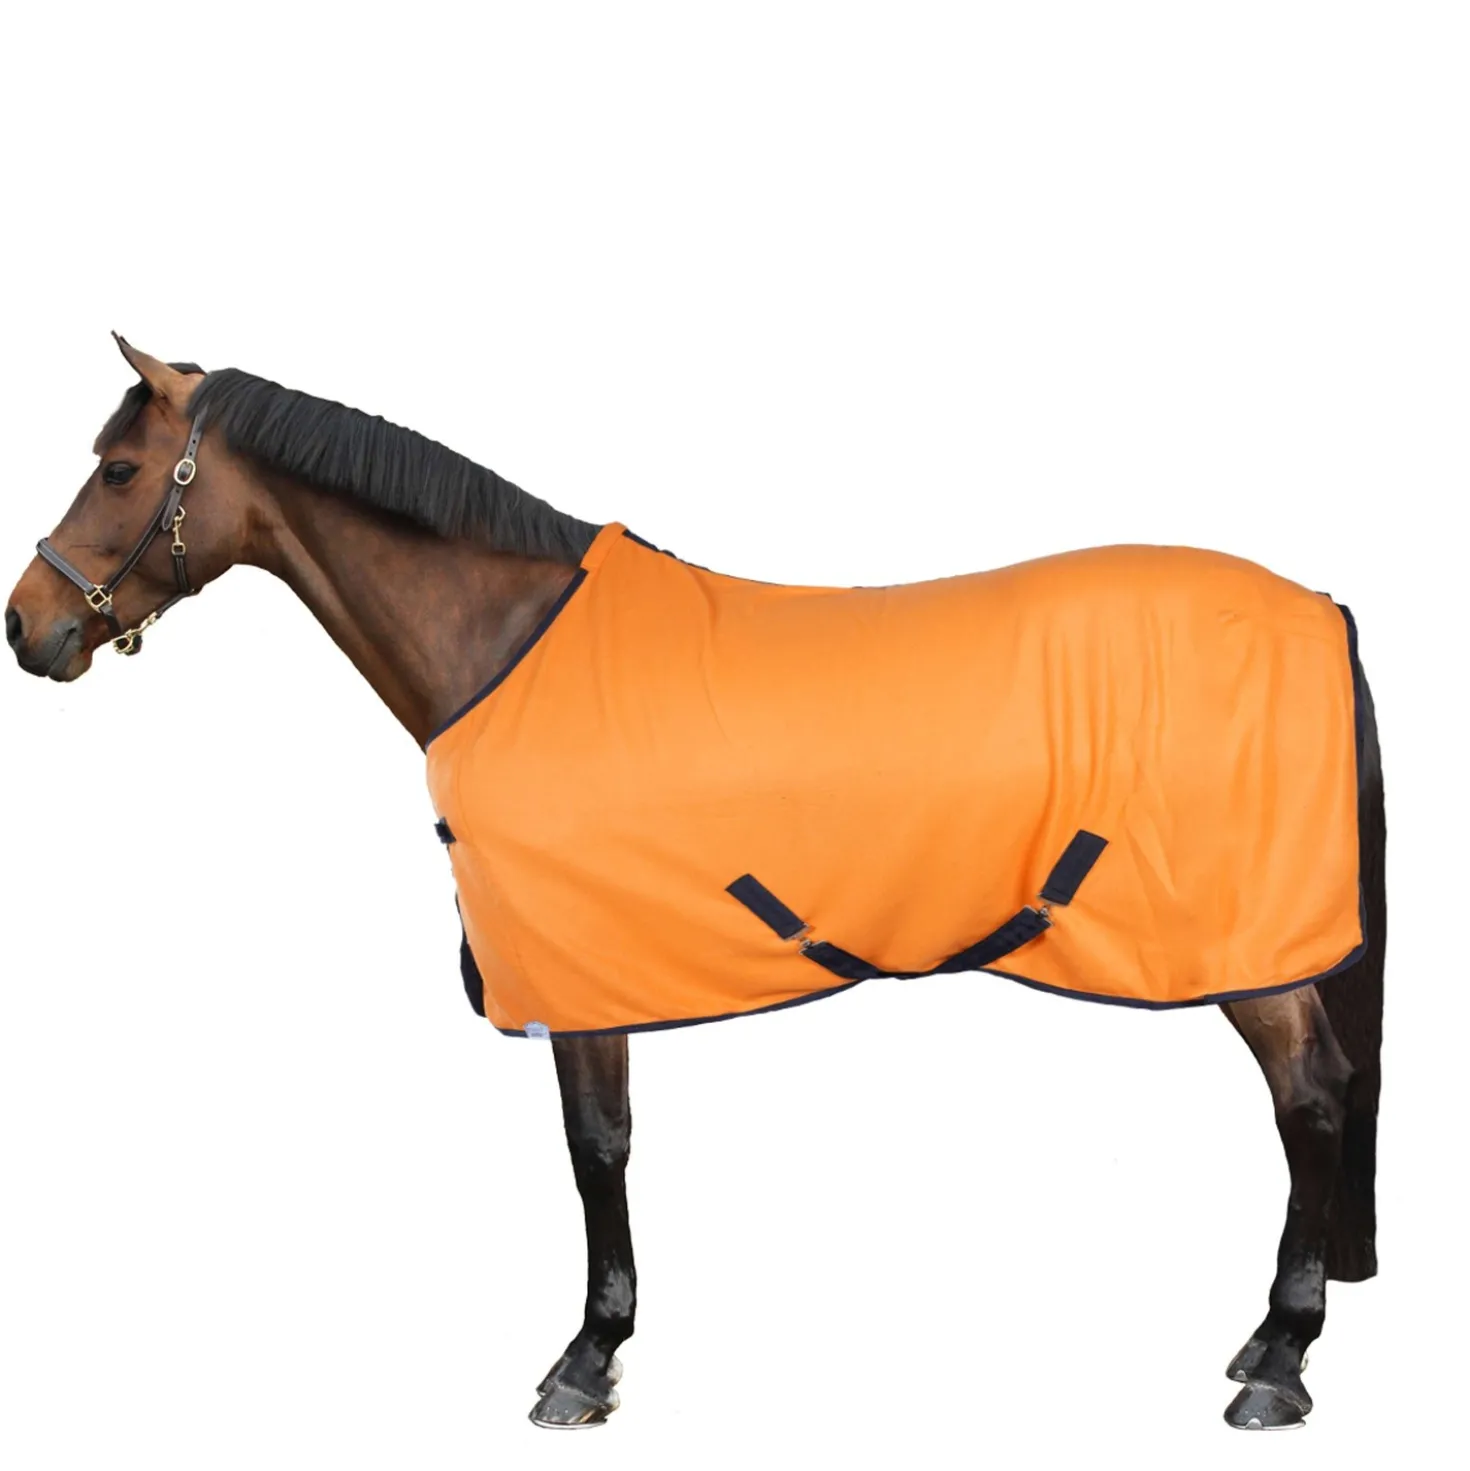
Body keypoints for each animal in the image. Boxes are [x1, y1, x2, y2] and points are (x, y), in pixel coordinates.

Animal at [6, 336, 1385, 1432]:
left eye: (119, 470)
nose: (27, 627)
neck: (508, 645)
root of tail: (1318, 608)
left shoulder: (580, 968)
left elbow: (596, 1148)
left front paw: (586, 1358)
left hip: (1240, 951)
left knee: (1312, 1098)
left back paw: (1280, 1361)